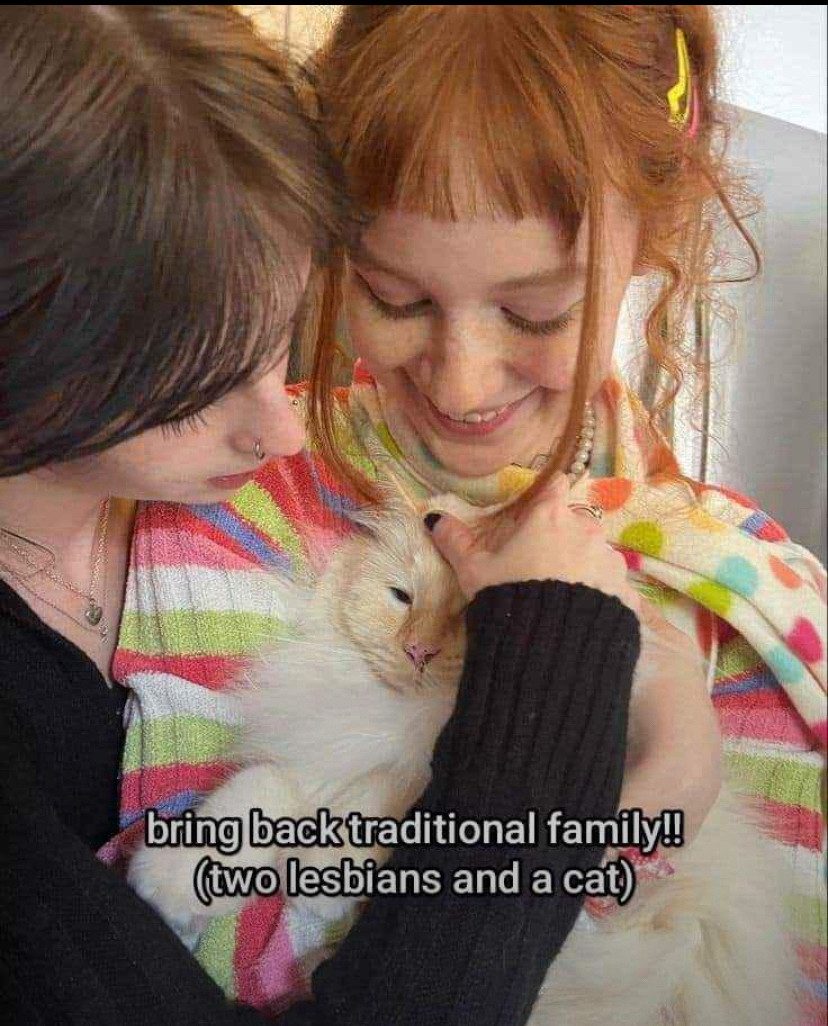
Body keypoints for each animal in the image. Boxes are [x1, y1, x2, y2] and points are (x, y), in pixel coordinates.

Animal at [132, 488, 800, 1026]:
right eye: (401, 597)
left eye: (470, 615)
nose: (418, 651)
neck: (408, 712)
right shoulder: (312, 755)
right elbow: (248, 803)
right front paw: (167, 886)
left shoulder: (411, 775)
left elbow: (372, 802)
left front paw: (324, 877)